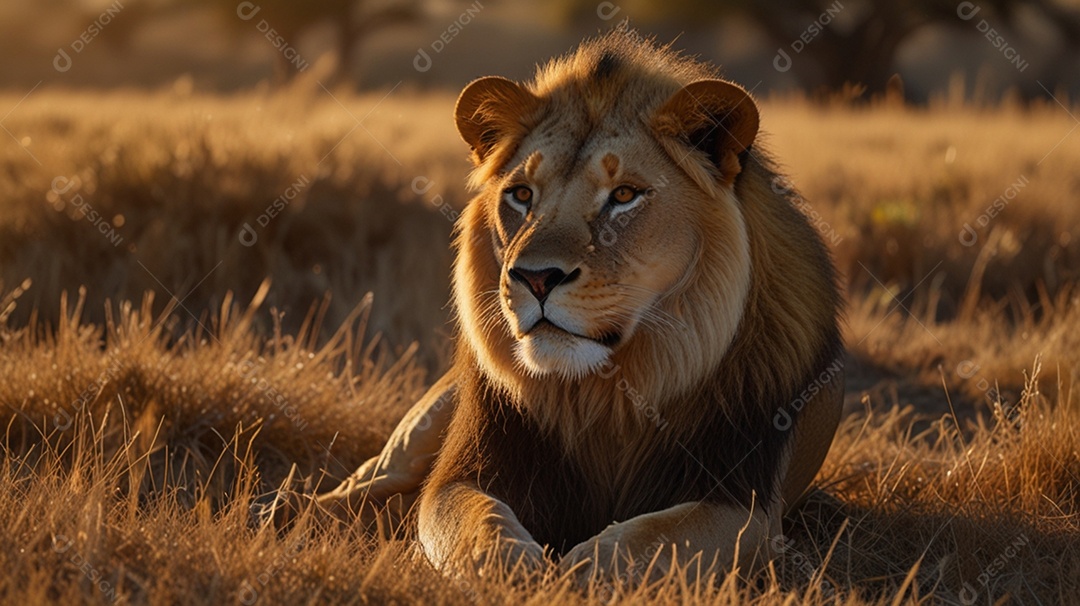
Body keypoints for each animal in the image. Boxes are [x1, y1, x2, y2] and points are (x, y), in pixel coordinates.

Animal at [314, 26, 844, 583]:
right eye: (522, 194)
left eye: (624, 195)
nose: (535, 277)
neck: (604, 392)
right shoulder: (468, 470)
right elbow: (476, 521)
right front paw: (517, 573)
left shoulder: (745, 504)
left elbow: (650, 541)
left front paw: (577, 573)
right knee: (351, 491)